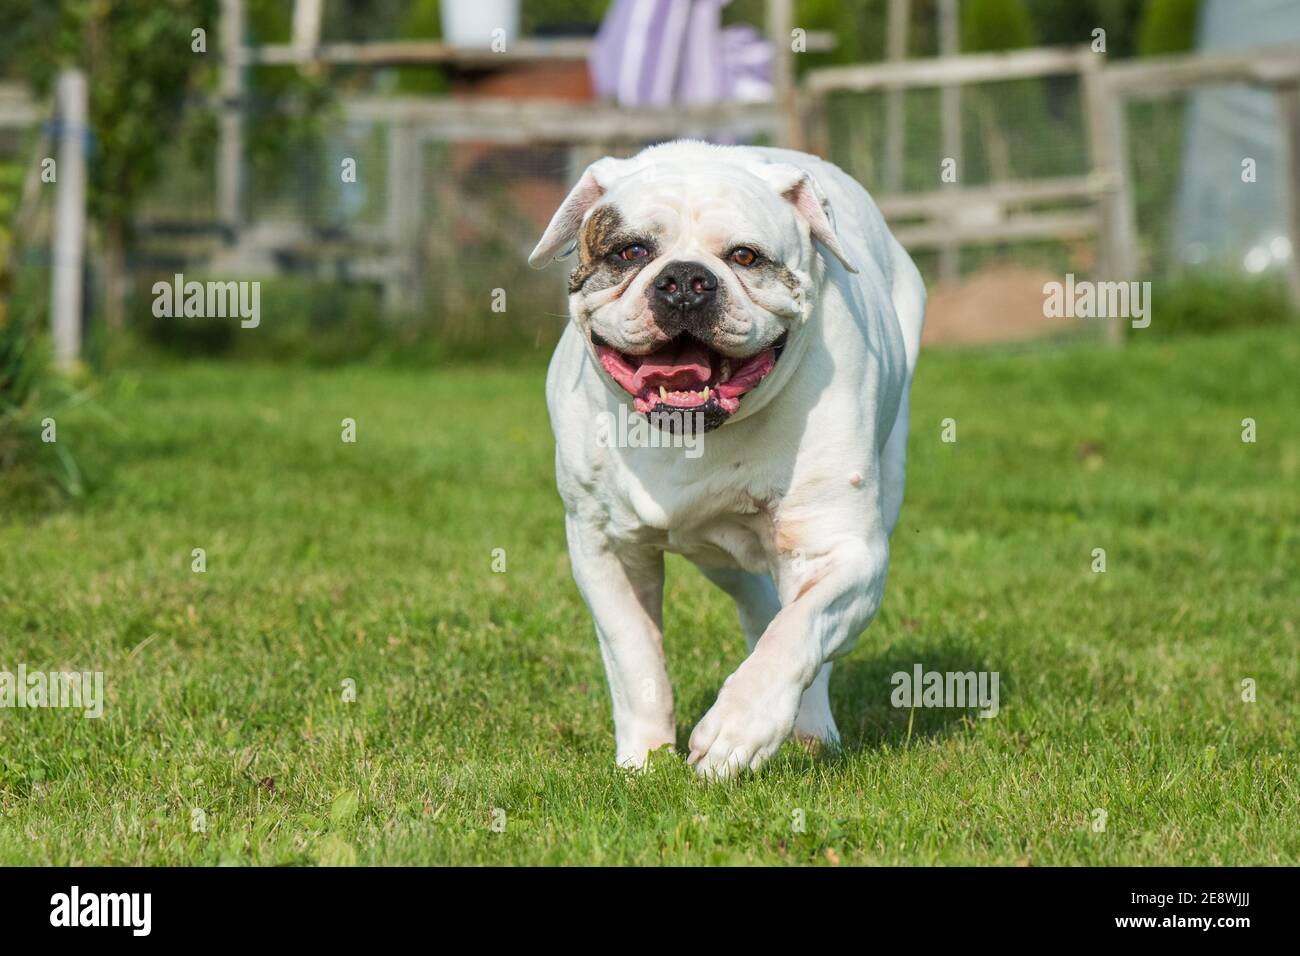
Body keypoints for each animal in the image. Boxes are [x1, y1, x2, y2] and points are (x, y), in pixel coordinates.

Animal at [527, 143, 925, 785]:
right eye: (631, 252)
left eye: (744, 256)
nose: (686, 280)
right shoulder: (604, 551)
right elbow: (634, 657)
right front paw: (642, 760)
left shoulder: (847, 551)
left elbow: (798, 634)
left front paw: (737, 730)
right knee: (758, 600)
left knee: (801, 630)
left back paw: (812, 729)